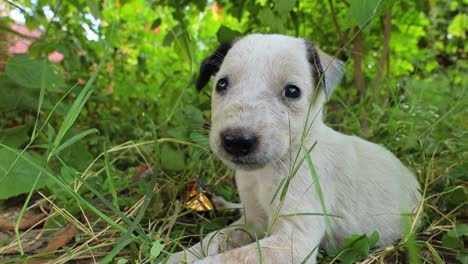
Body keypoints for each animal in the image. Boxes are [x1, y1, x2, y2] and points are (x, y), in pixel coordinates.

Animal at [166, 34, 422, 262]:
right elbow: (213, 239)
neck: (266, 173)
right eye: (221, 84)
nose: (236, 141)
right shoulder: (252, 222)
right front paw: (180, 256)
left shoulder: (294, 242)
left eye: (292, 91)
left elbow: (229, 258)